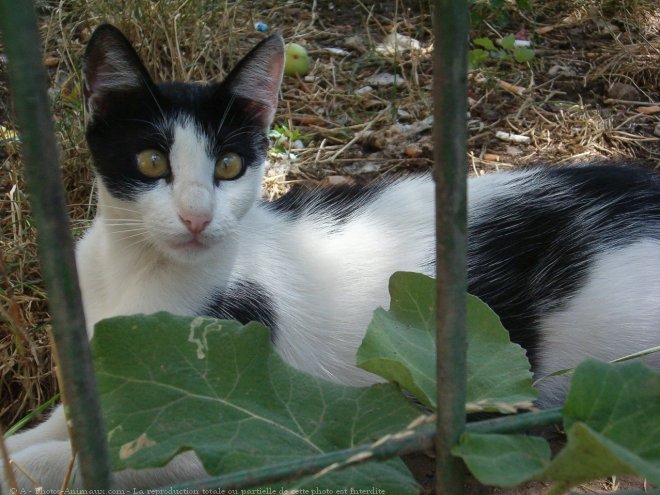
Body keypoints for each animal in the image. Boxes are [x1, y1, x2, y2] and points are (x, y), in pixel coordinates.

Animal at [1, 23, 660, 492]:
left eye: (229, 165)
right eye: (150, 162)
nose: (196, 217)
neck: (134, 273)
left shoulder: (237, 444)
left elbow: (81, 463)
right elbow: (58, 433)